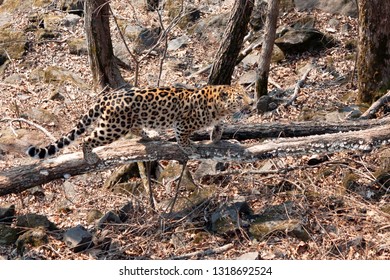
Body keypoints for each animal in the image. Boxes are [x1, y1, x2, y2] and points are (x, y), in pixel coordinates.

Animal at [26, 85, 253, 164]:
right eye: (240, 97)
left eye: (246, 93)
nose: (251, 103)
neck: (218, 106)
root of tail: (107, 96)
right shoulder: (182, 125)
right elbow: (183, 138)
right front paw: (190, 149)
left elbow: (219, 125)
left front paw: (216, 136)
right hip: (113, 127)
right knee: (88, 139)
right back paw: (89, 157)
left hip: (125, 122)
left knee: (135, 128)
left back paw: (148, 135)